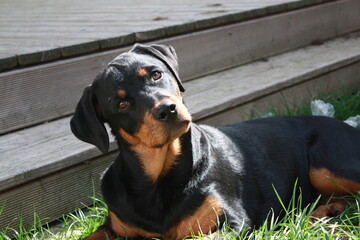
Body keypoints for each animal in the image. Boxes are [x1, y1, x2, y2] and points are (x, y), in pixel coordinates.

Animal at [70, 44, 360, 239]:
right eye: (121, 103)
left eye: (155, 74)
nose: (167, 110)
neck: (158, 180)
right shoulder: (114, 225)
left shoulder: (232, 221)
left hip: (327, 166)